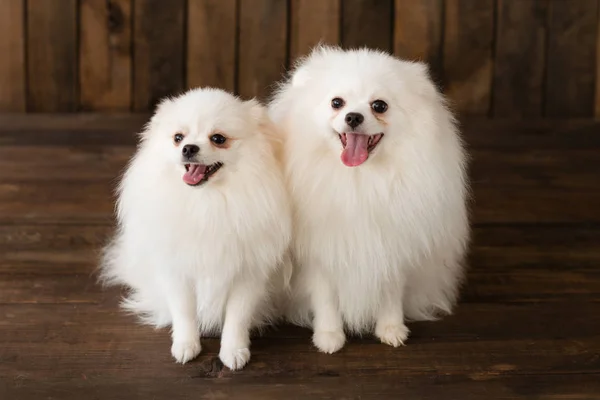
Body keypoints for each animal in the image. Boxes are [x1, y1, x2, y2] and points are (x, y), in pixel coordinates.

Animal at [99, 86, 292, 368]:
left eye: (218, 138)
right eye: (178, 138)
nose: (188, 148)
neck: (207, 202)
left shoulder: (248, 272)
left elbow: (237, 316)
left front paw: (234, 351)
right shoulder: (178, 269)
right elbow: (184, 312)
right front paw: (185, 345)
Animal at [270, 46, 472, 354]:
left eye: (379, 106)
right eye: (337, 103)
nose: (353, 117)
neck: (360, 179)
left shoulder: (391, 247)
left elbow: (390, 293)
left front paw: (391, 329)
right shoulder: (320, 253)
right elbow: (325, 298)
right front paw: (329, 336)